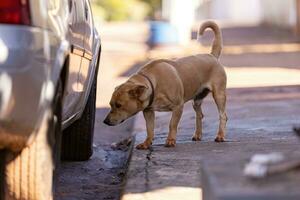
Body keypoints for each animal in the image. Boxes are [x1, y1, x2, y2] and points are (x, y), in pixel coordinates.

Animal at [103, 21, 227, 150]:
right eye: (110, 104)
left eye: (118, 105)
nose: (105, 121)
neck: (154, 83)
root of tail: (212, 56)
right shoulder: (148, 111)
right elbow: (149, 129)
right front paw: (147, 143)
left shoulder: (178, 107)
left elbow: (172, 124)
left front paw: (170, 140)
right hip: (197, 100)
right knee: (200, 115)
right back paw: (198, 135)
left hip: (219, 95)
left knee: (223, 116)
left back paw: (220, 136)